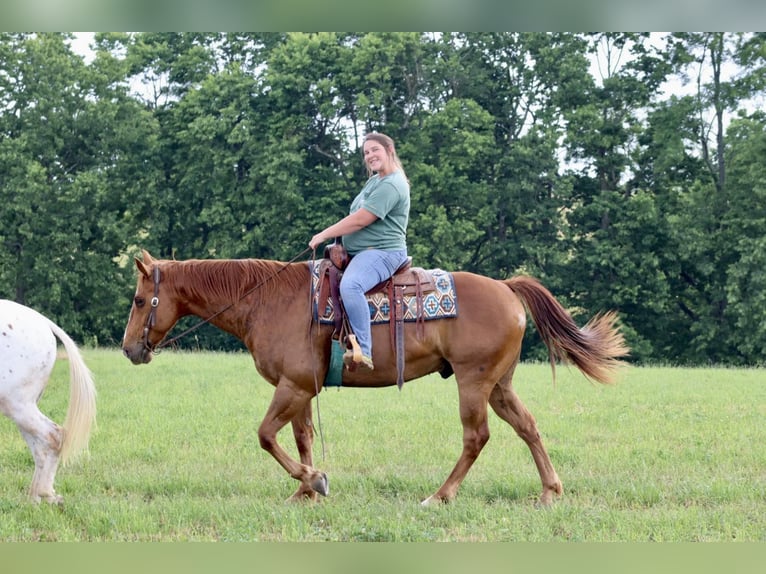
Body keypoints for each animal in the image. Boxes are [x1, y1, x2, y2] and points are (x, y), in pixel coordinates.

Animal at [0, 302, 97, 504]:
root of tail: (43, 322)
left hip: (17, 405)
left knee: (53, 436)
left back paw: (44, 493)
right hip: (23, 407)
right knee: (40, 447)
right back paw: (37, 497)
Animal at [123, 250, 632, 506]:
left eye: (139, 299)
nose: (130, 349)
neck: (266, 301)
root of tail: (507, 288)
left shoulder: (292, 387)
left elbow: (266, 435)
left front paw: (314, 481)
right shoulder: (301, 388)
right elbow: (302, 438)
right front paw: (306, 489)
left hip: (474, 383)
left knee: (476, 437)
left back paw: (439, 496)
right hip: (500, 386)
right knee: (527, 426)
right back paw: (550, 491)